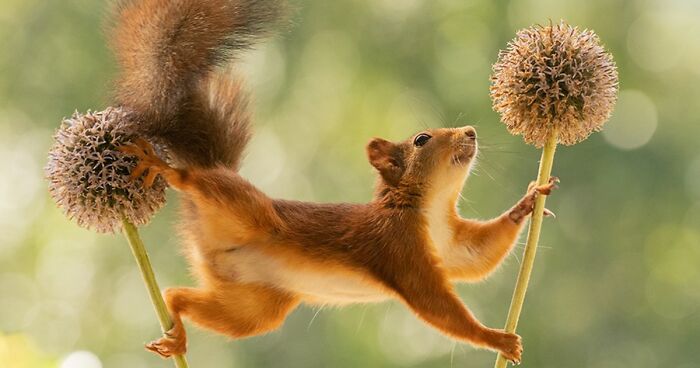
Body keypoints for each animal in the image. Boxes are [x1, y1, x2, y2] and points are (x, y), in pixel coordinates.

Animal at [110, 0, 556, 366]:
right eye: (421, 139)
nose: (470, 133)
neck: (430, 208)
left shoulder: (450, 246)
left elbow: (477, 256)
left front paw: (529, 201)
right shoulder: (398, 247)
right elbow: (433, 302)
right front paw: (496, 339)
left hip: (254, 307)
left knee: (184, 297)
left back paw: (175, 325)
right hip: (246, 210)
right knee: (194, 182)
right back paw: (164, 168)